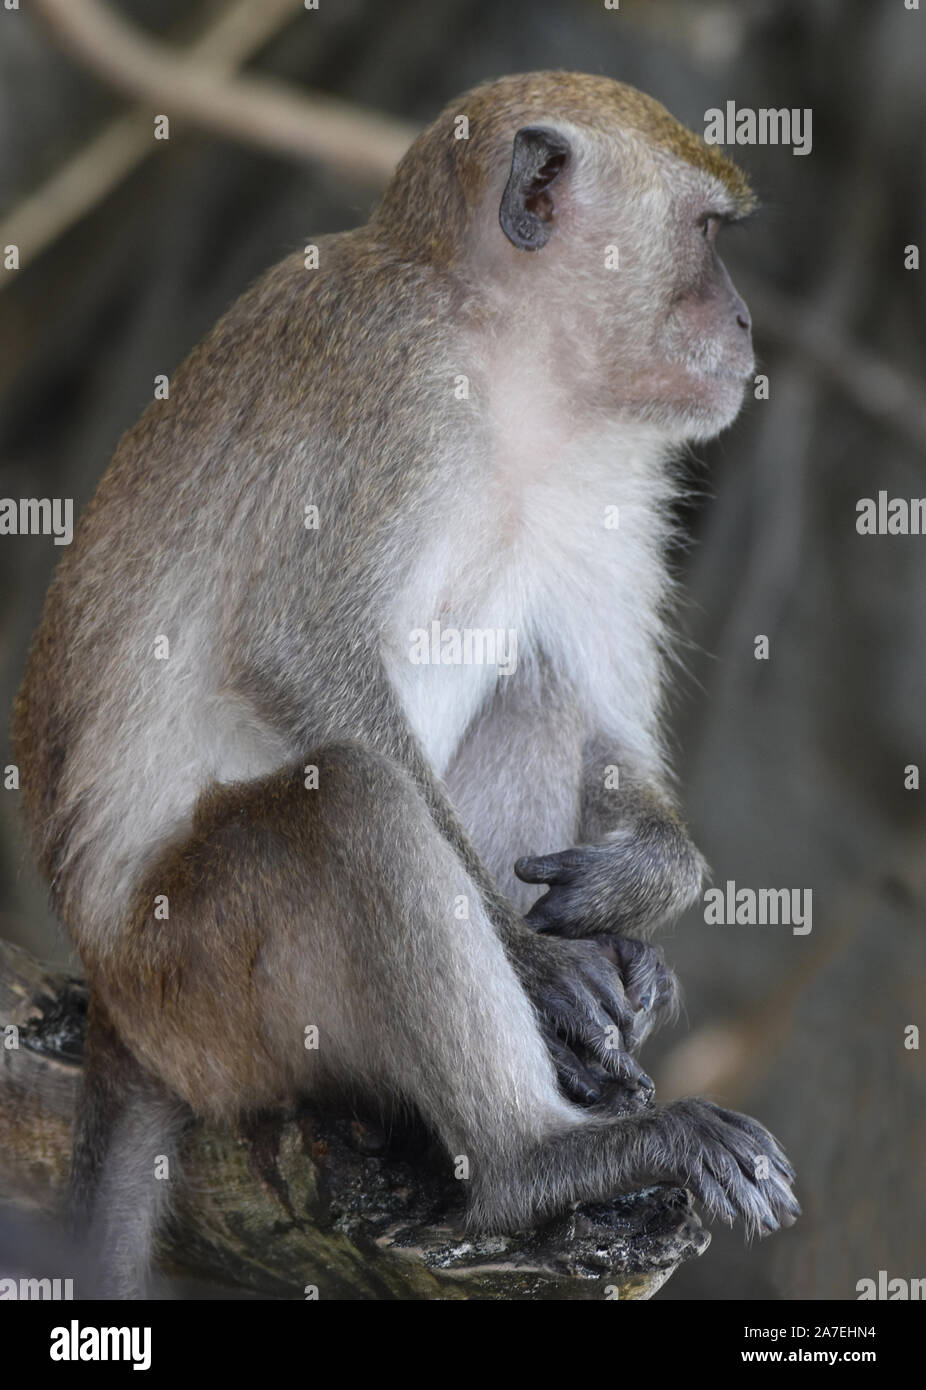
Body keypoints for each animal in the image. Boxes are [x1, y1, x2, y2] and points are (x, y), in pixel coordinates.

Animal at [12, 73, 795, 1289]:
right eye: (708, 235)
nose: (745, 322)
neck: (511, 366)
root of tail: (119, 1014)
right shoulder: (398, 384)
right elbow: (295, 647)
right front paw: (535, 960)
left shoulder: (615, 462)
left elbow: (601, 718)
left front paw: (640, 892)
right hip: (201, 983)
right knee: (355, 805)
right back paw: (534, 1161)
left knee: (535, 696)